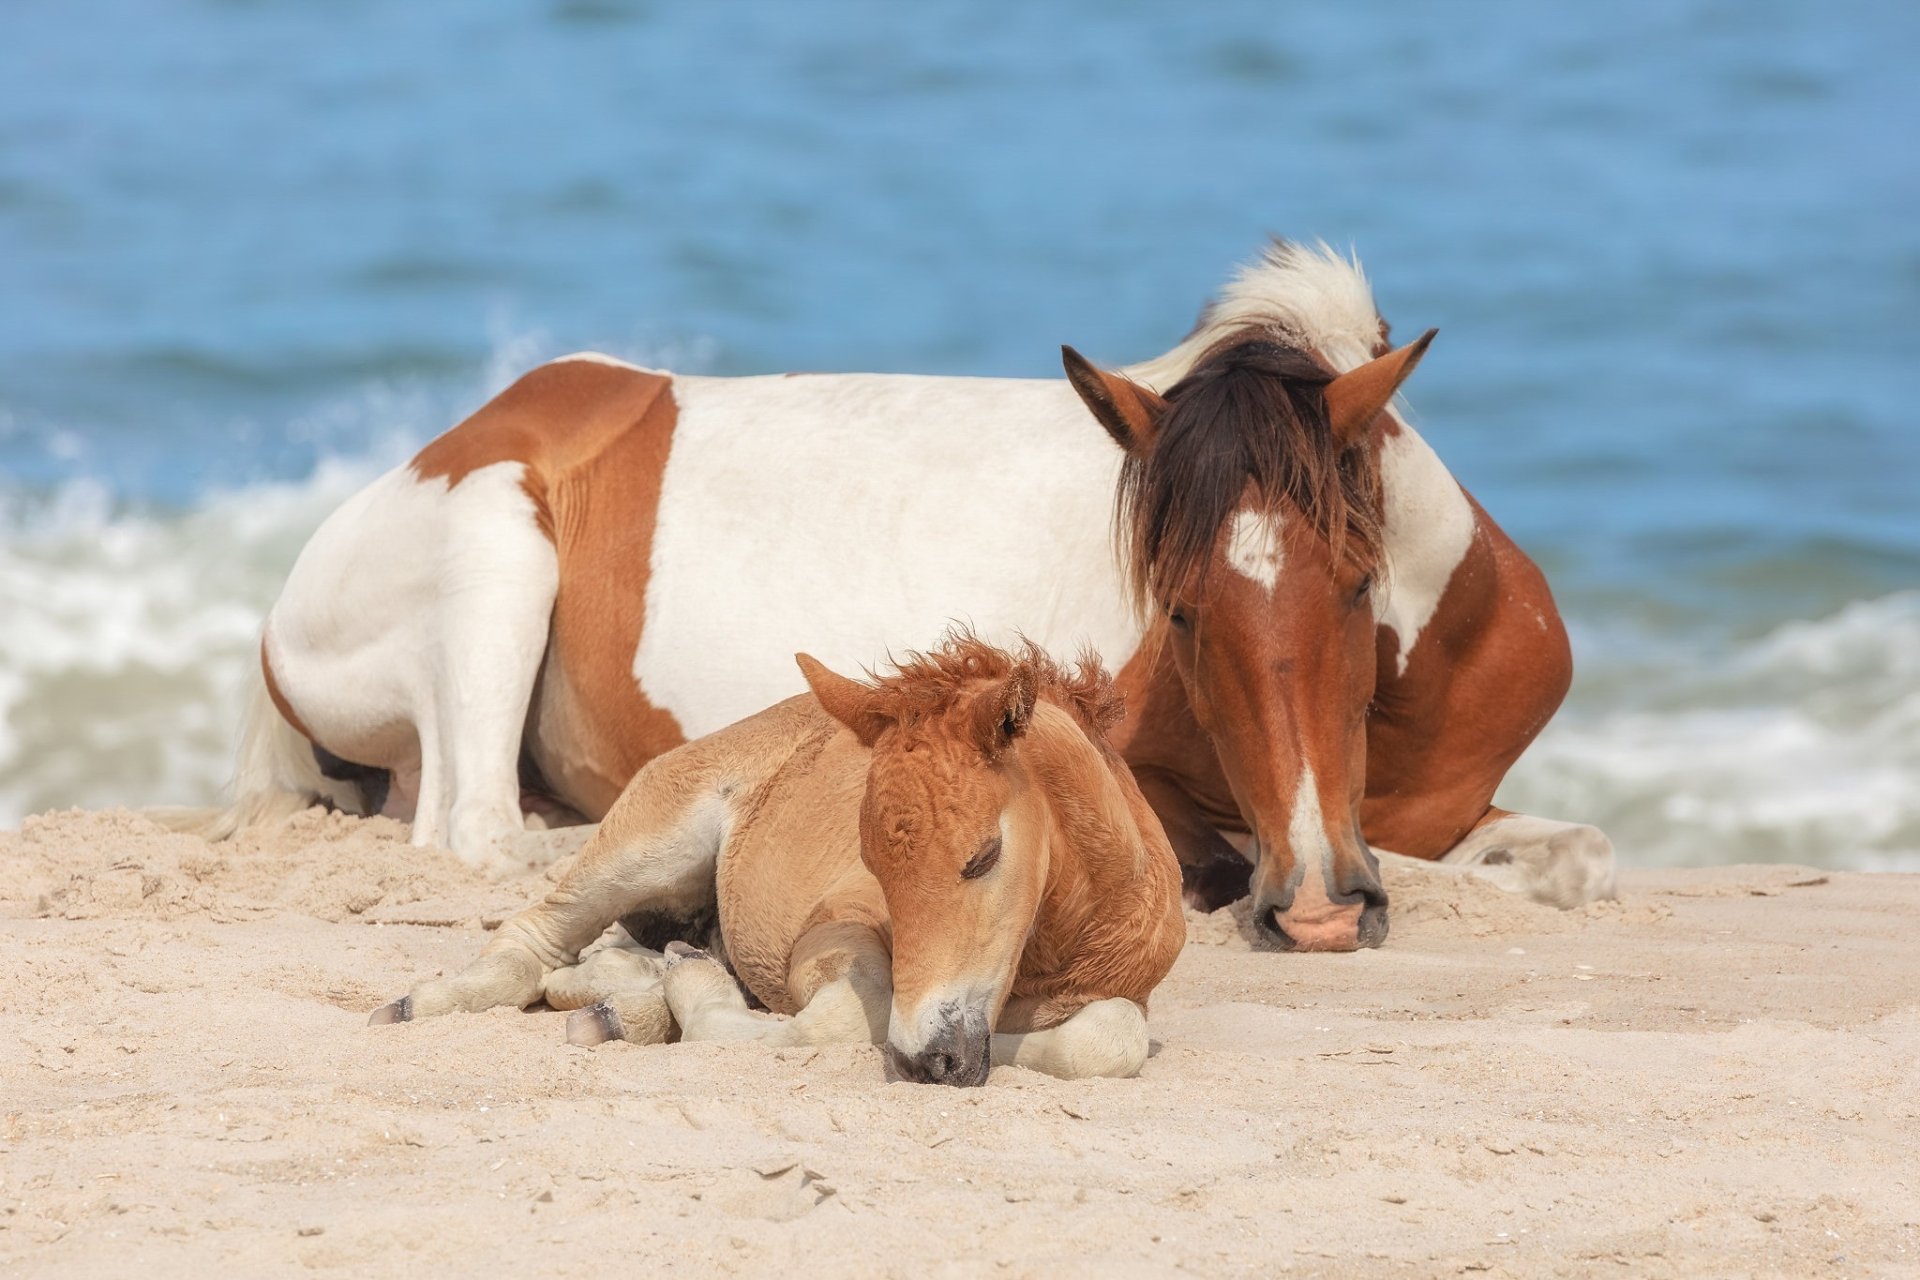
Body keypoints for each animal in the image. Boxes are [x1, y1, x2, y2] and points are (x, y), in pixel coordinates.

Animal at [195, 239, 1613, 952]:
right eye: (1179, 610)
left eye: (1361, 581)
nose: (1318, 909)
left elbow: (1576, 858)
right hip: (499, 557)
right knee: (476, 829)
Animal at [368, 635, 1186, 1086]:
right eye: (872, 862)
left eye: (985, 857)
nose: (932, 1061)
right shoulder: (833, 932)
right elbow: (848, 1020)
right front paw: (695, 994)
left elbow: (1108, 1037)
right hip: (650, 842)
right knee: (535, 934)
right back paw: (424, 1004)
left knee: (613, 951)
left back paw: (621, 999)